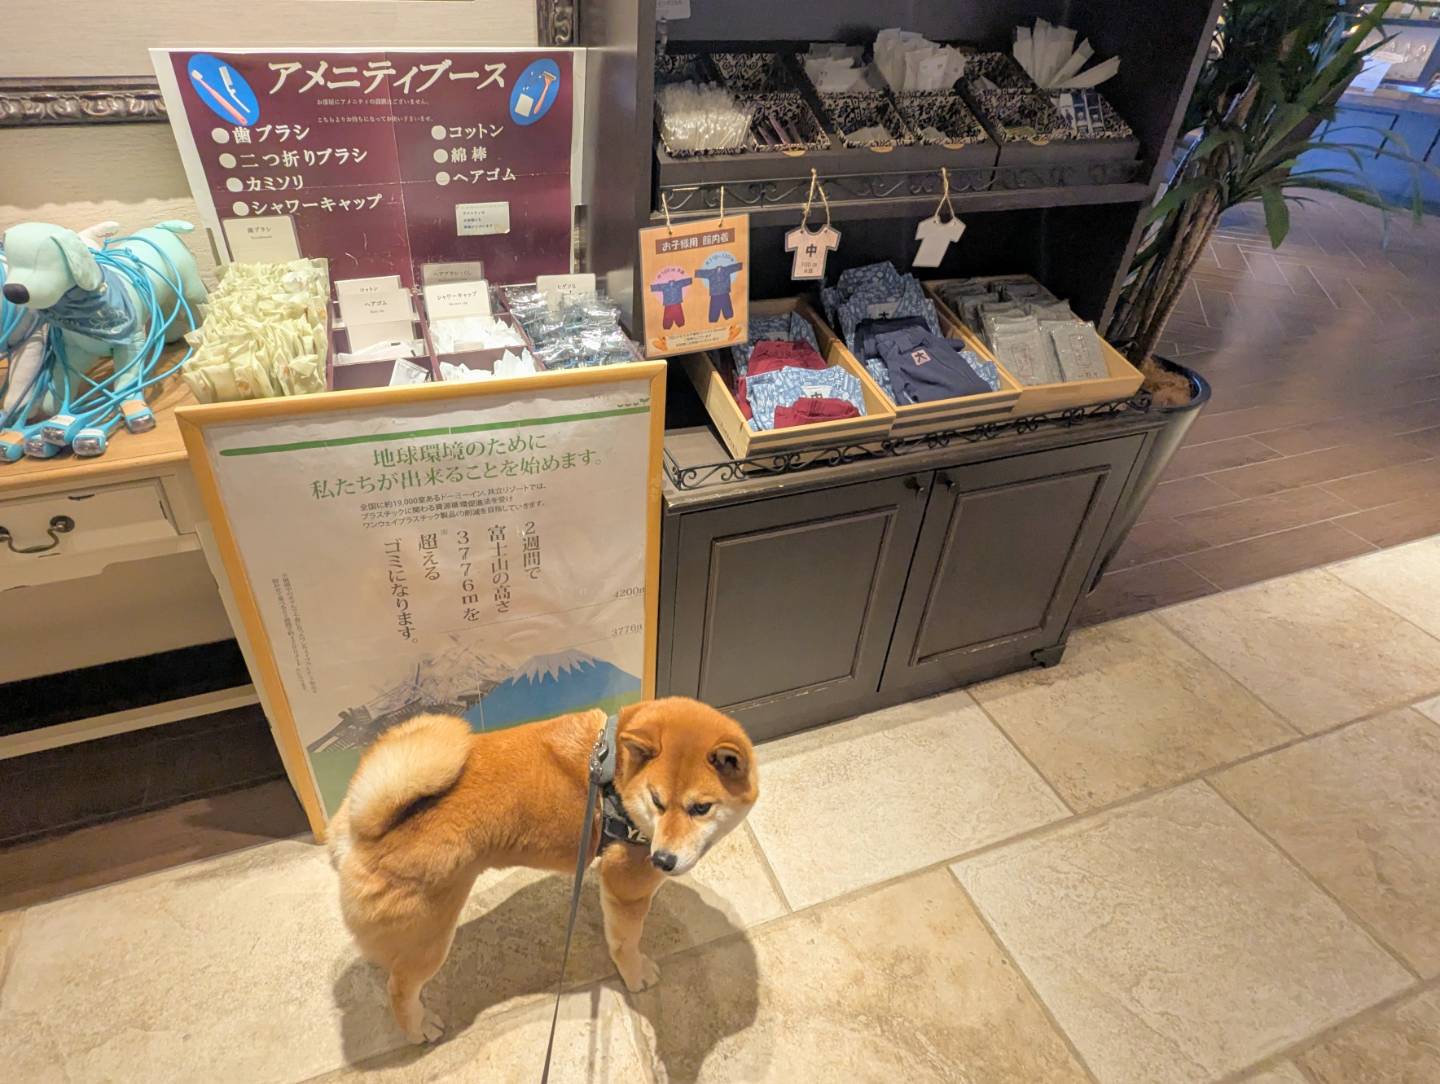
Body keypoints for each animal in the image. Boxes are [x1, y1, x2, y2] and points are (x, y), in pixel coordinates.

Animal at [326, 697, 758, 1044]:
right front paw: (635, 974)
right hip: (430, 938)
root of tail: (358, 829)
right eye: (657, 801)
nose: (662, 860)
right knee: (399, 988)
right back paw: (419, 1027)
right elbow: (626, 942)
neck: (618, 779)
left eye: (700, 808)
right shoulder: (626, 885)